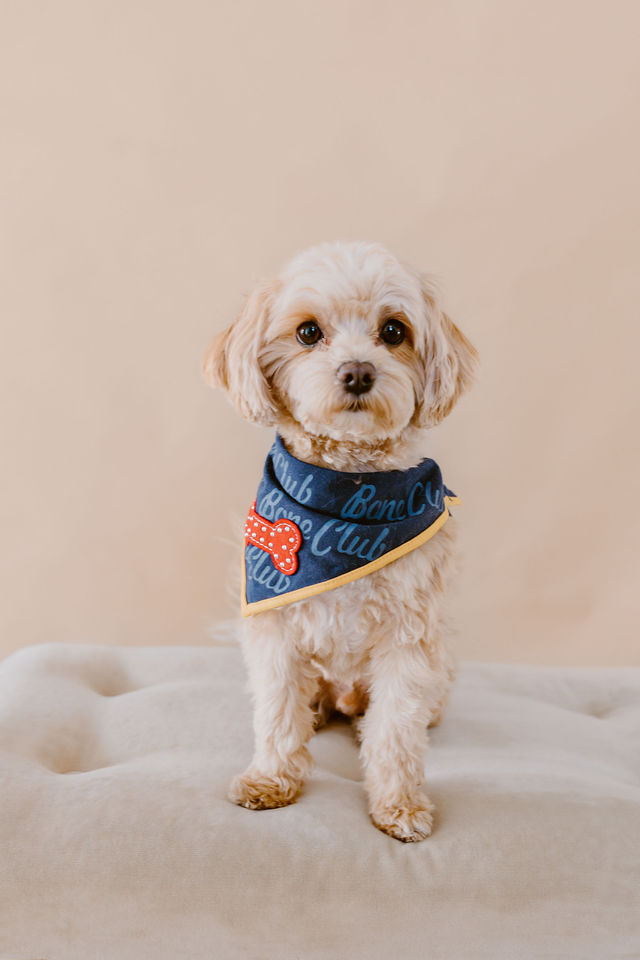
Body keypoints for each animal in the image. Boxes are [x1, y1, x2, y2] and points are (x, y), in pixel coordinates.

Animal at [203, 240, 478, 842]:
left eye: (394, 331)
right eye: (308, 332)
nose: (357, 372)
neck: (347, 500)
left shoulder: (407, 638)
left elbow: (396, 730)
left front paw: (399, 805)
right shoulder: (276, 628)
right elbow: (278, 713)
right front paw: (271, 780)